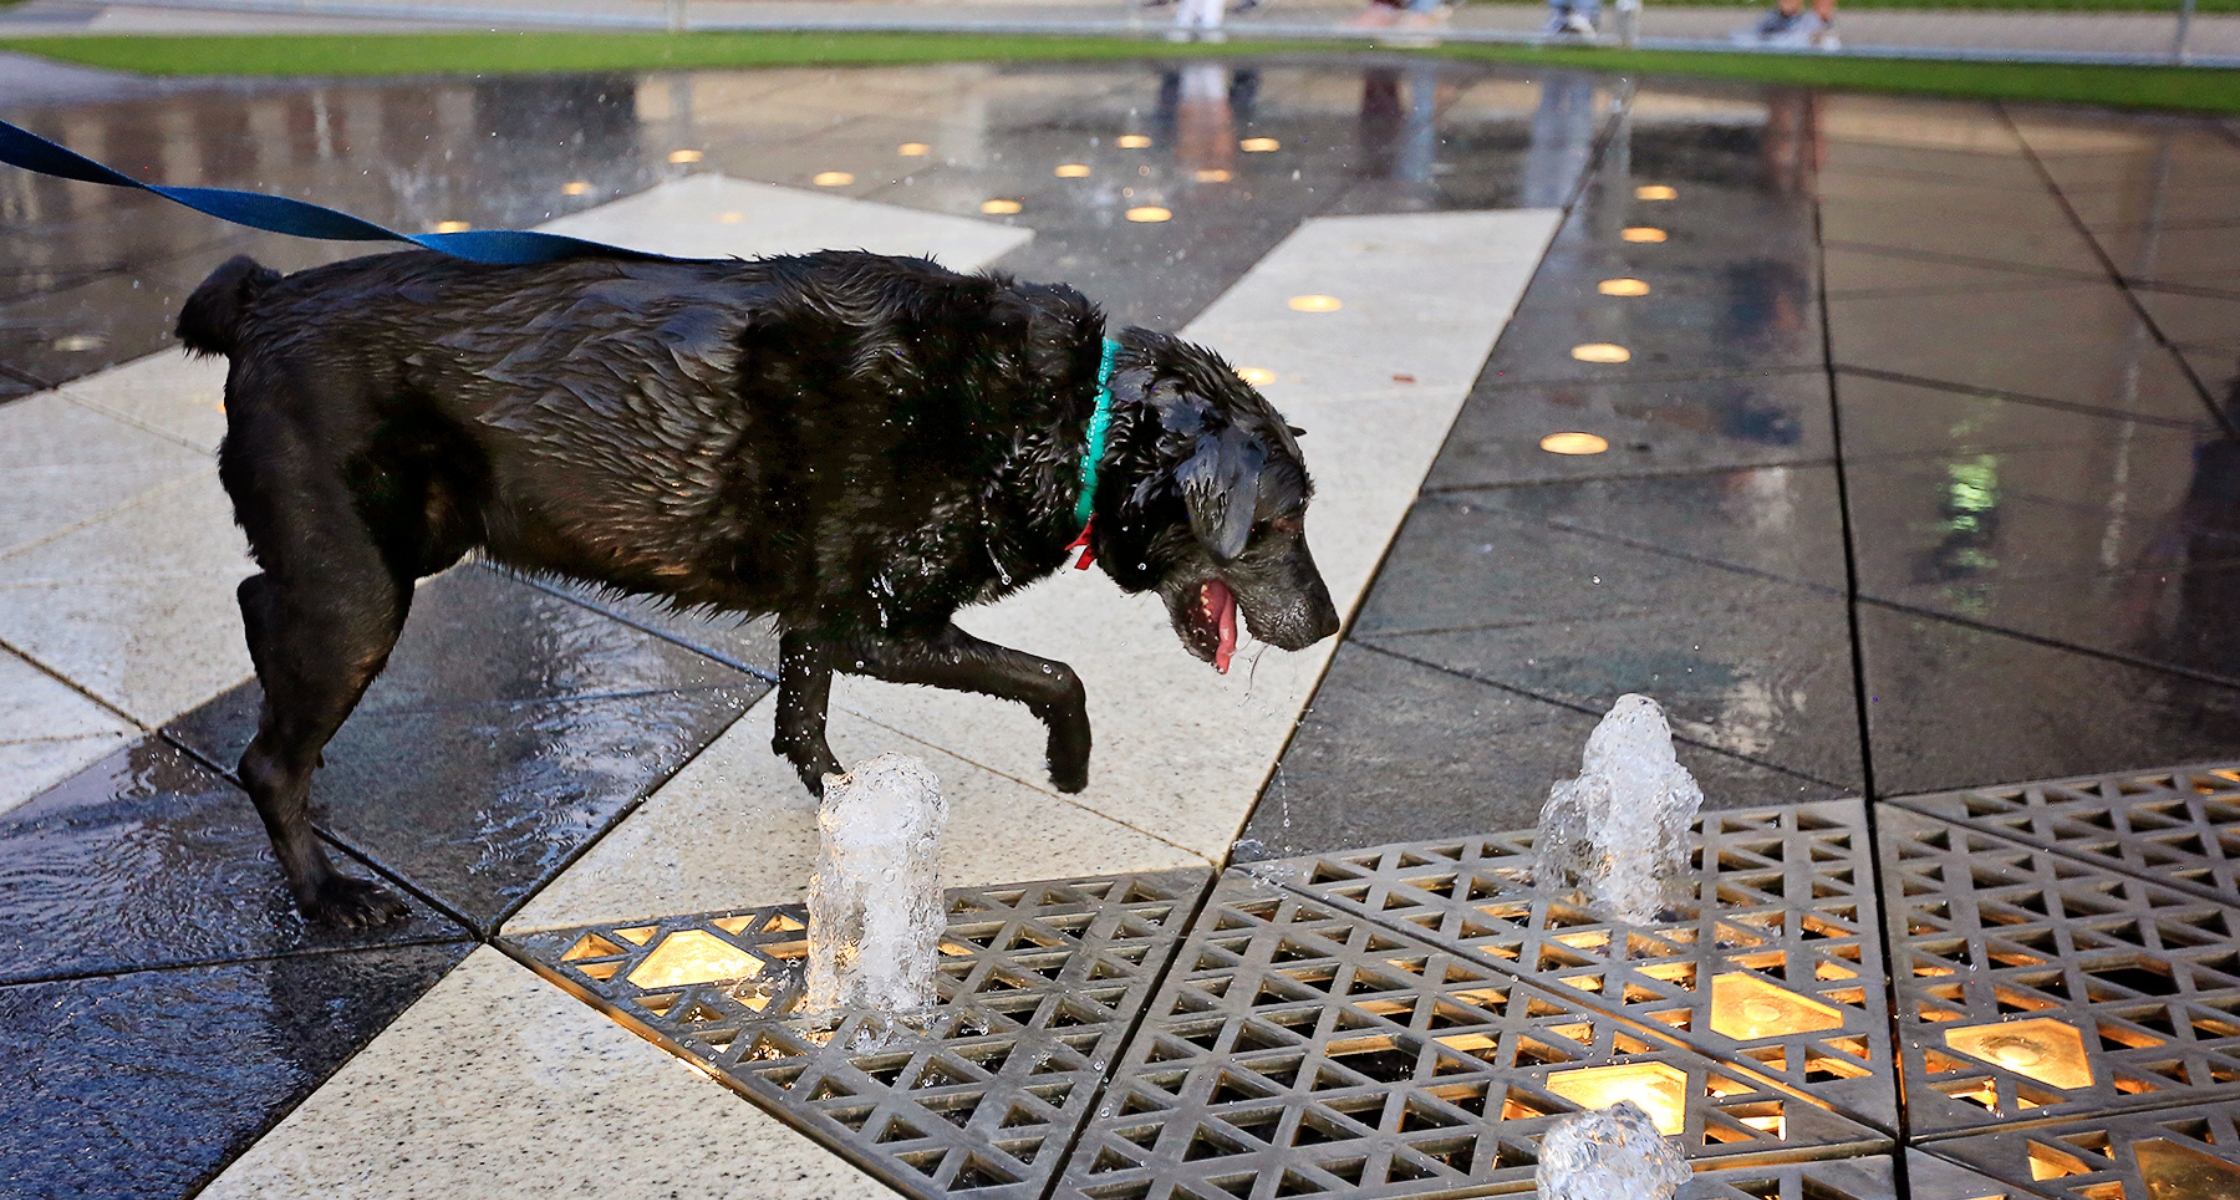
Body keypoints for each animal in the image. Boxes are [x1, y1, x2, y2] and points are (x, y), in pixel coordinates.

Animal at [183, 248, 1335, 926]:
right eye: (1278, 525)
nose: (1328, 625)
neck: (1071, 415)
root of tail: (264, 298)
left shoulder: (824, 616)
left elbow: (801, 716)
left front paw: (849, 806)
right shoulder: (885, 622)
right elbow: (1057, 675)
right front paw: (1070, 763)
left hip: (390, 557)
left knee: (255, 609)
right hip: (361, 593)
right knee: (267, 755)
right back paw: (324, 893)